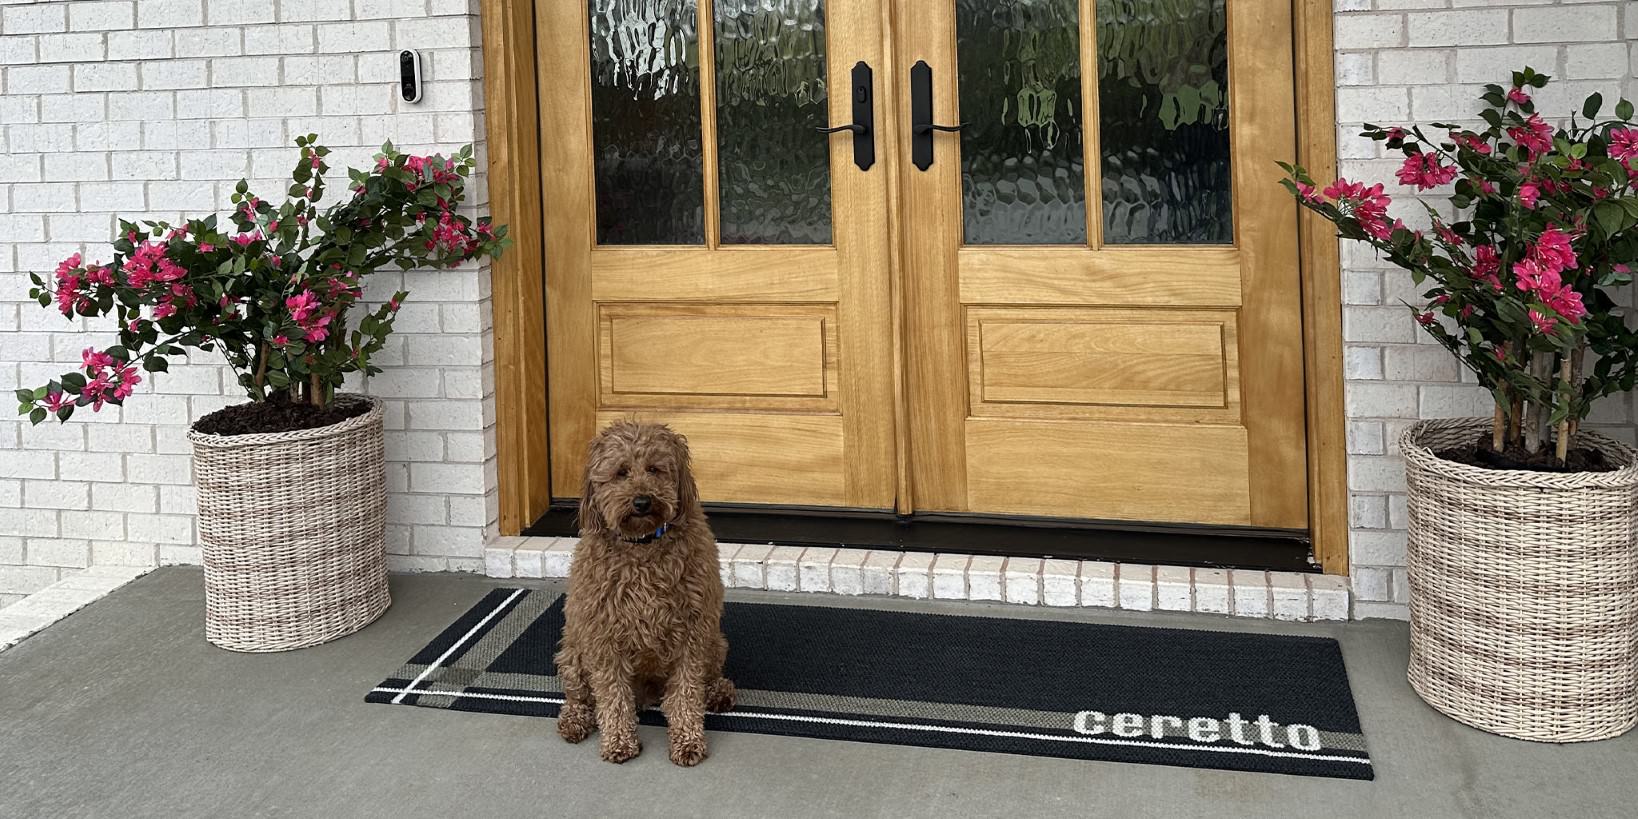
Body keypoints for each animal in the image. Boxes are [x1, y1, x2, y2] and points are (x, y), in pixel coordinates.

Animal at [556, 422, 737, 766]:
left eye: (654, 469)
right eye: (621, 472)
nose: (642, 501)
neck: (643, 546)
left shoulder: (692, 633)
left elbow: (685, 694)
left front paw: (687, 742)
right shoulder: (604, 638)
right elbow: (612, 696)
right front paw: (618, 742)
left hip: (715, 643)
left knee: (704, 680)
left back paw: (719, 692)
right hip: (574, 649)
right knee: (579, 695)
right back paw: (574, 721)